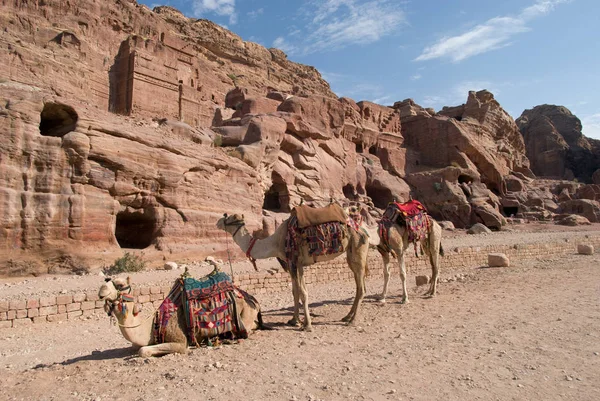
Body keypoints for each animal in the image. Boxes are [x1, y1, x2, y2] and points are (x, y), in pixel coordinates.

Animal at [98, 276, 262, 356]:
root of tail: (252, 299)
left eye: (120, 285)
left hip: (245, 316)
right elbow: (137, 347)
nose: (101, 291)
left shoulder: (180, 341)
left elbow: (143, 351)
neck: (154, 325)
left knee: (248, 328)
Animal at [213, 212, 368, 332]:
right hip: (351, 255)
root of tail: (363, 228)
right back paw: (347, 316)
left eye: (229, 217)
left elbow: (303, 293)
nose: (218, 221)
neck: (275, 243)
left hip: (358, 249)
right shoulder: (296, 264)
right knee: (358, 285)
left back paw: (352, 320)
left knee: (361, 288)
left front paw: (307, 325)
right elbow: (296, 291)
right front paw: (295, 320)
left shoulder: (293, 261)